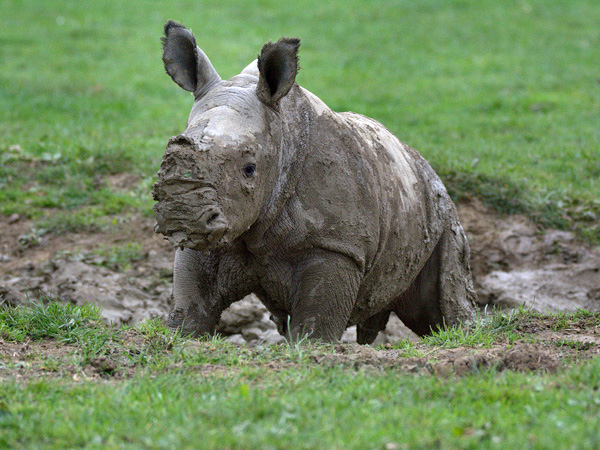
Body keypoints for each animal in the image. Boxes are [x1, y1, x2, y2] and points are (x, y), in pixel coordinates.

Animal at [154, 21, 478, 342]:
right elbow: (192, 307)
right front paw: (184, 338)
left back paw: (462, 333)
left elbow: (316, 323)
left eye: (249, 169)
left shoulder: (337, 245)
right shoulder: (211, 231)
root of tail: (424, 164)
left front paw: (311, 348)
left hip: (439, 207)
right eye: (168, 155)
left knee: (436, 308)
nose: (181, 212)